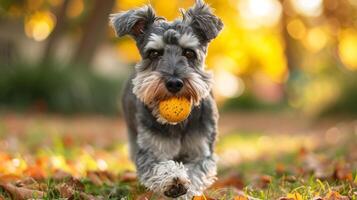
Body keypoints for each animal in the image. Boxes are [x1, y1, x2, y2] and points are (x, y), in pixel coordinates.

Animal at [108, 0, 221, 197]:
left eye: (189, 52)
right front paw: (173, 180)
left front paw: (185, 188)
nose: (174, 83)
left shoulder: (202, 152)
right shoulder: (150, 151)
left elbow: (196, 172)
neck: (178, 124)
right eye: (154, 53)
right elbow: (157, 167)